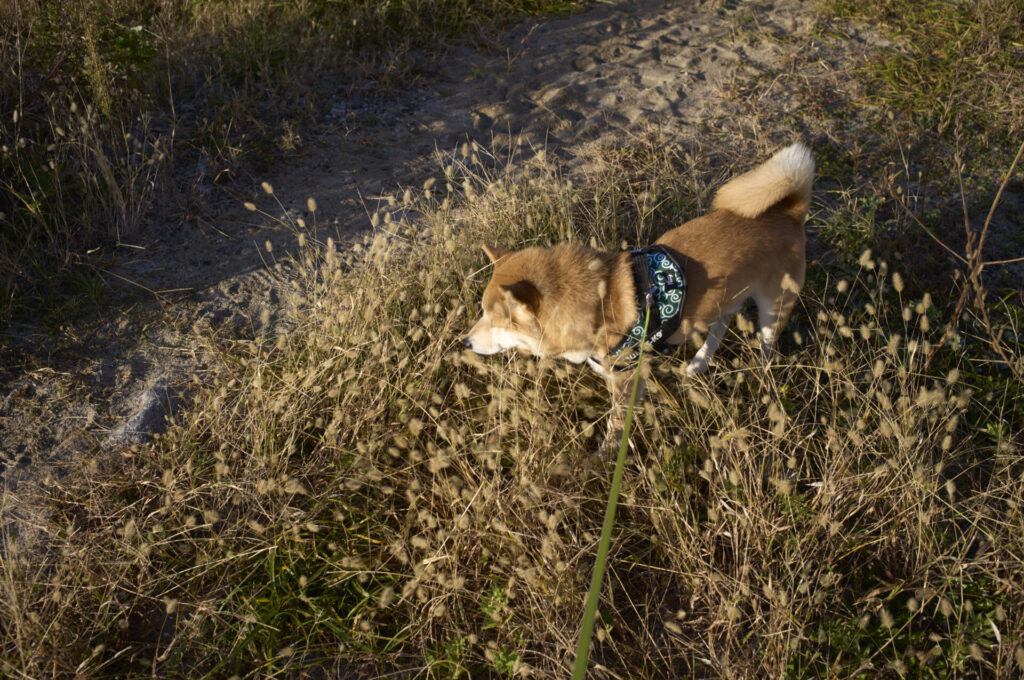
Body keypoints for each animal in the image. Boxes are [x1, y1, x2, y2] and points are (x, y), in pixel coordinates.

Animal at [464, 143, 815, 448]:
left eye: (495, 321)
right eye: (482, 314)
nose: (465, 342)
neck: (600, 301)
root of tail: (788, 212)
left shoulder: (627, 380)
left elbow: (616, 426)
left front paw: (605, 460)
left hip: (774, 307)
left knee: (766, 347)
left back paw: (763, 379)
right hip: (725, 297)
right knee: (721, 324)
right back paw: (699, 363)